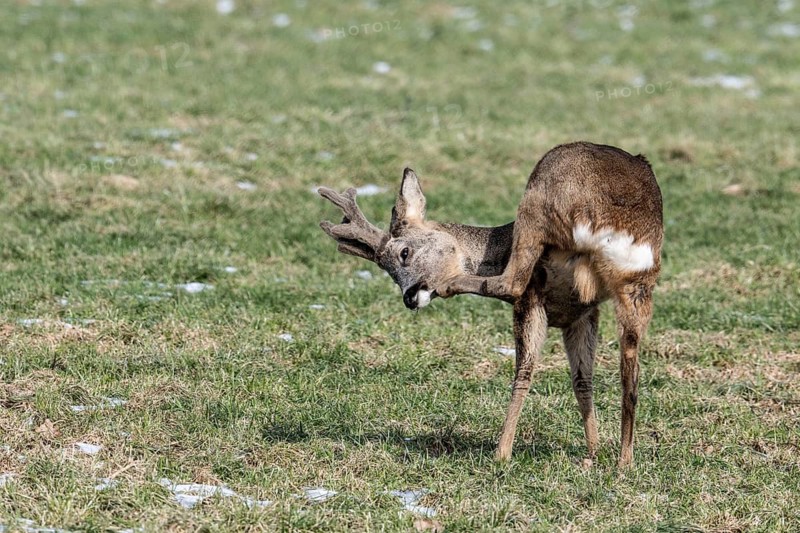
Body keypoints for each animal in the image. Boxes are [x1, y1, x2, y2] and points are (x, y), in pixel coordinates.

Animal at [318, 141, 663, 467]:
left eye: (404, 252)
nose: (409, 297)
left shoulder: (536, 299)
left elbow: (528, 370)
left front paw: (506, 452)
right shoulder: (584, 312)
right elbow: (583, 381)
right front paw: (593, 451)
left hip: (537, 202)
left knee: (512, 287)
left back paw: (501, 452)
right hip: (638, 288)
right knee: (630, 380)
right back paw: (624, 461)